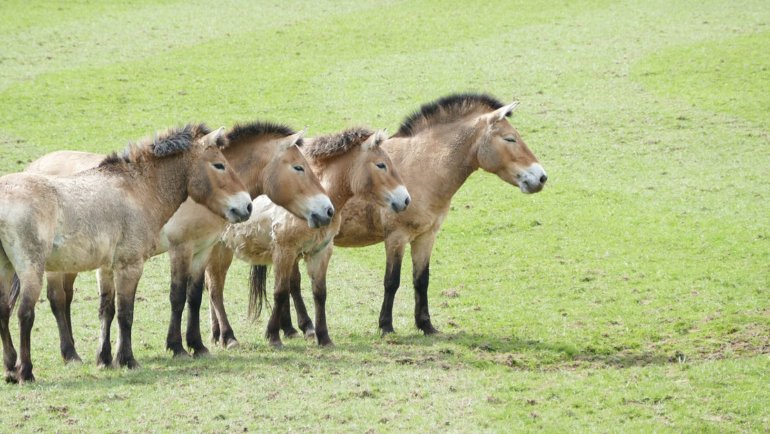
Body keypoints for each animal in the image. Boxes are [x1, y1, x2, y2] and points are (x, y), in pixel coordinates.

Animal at [0, 125, 252, 384]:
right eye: (219, 165)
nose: (247, 206)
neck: (137, 190)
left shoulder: (111, 267)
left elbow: (109, 310)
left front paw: (106, 359)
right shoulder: (131, 265)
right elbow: (126, 313)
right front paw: (128, 360)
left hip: (7, 269)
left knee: (4, 310)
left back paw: (10, 369)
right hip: (33, 270)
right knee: (26, 313)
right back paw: (27, 371)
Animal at [22, 121, 330, 360]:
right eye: (299, 167)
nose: (327, 210)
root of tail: (32, 167)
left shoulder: (203, 248)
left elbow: (195, 296)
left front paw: (197, 344)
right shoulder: (180, 248)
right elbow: (178, 296)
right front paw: (177, 346)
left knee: (66, 299)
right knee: (58, 299)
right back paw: (70, 353)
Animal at [204, 127, 408, 348]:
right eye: (381, 165)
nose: (406, 199)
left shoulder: (320, 252)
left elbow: (319, 293)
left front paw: (323, 337)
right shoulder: (285, 252)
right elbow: (281, 291)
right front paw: (273, 335)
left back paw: (216, 334)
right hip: (219, 251)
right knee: (215, 290)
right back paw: (229, 336)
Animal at [255, 92, 544, 336]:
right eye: (510, 139)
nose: (541, 177)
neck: (422, 167)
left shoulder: (426, 236)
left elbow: (421, 280)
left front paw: (426, 325)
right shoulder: (396, 237)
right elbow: (391, 281)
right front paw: (386, 326)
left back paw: (291, 328)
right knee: (292, 283)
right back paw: (302, 327)